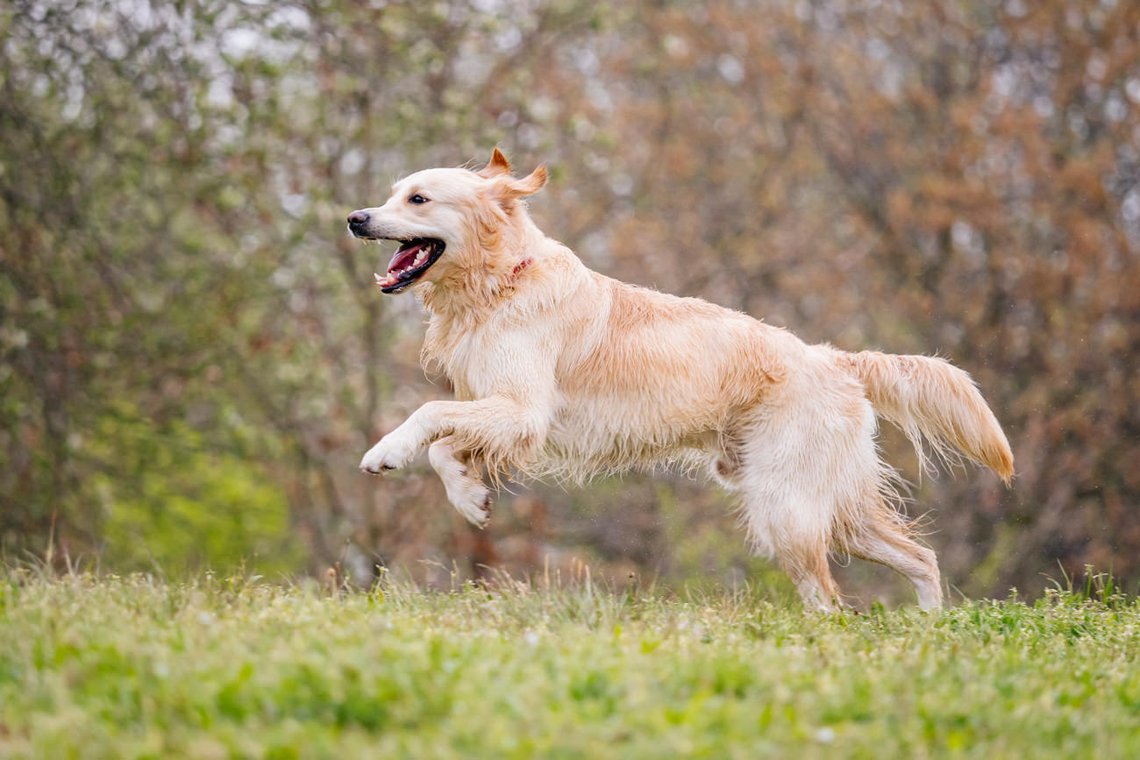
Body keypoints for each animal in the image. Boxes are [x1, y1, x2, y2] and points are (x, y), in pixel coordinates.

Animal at [342, 148, 1012, 610]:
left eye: (419, 200)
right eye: (393, 193)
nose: (354, 217)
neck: (501, 281)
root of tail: (834, 359)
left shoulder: (522, 409)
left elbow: (428, 415)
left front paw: (385, 452)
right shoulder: (501, 410)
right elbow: (445, 449)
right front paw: (470, 499)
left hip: (788, 507)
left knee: (830, 600)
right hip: (832, 507)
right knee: (921, 556)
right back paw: (930, 624)